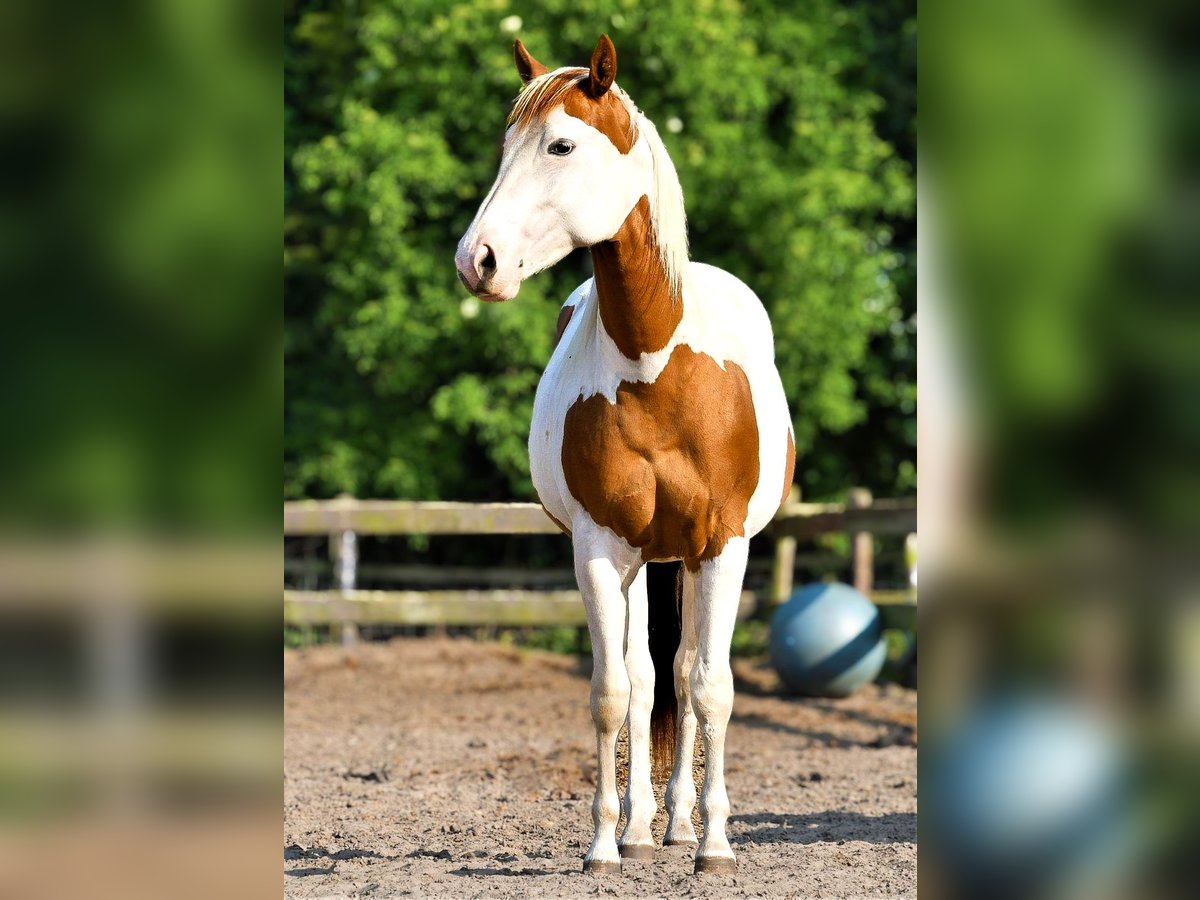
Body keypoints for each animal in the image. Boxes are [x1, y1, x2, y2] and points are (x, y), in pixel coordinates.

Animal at [455, 34, 795, 876]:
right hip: (645, 559)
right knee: (645, 680)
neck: (656, 367)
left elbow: (711, 687)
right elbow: (614, 691)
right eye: (505, 146)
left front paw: (714, 844)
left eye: (561, 144)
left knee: (680, 674)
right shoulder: (601, 548)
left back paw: (679, 824)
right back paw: (645, 827)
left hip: (685, 559)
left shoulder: (723, 547)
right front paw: (606, 843)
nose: (477, 260)